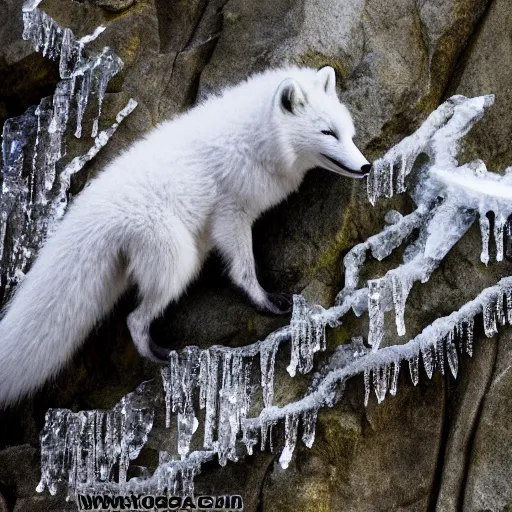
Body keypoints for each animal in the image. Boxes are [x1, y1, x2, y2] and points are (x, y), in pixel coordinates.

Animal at [0, 66, 368, 406]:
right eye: (327, 132)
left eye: (347, 132)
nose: (366, 167)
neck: (256, 138)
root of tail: (97, 208)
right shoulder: (231, 215)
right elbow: (244, 270)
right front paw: (263, 301)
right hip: (179, 260)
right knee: (135, 319)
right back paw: (159, 355)